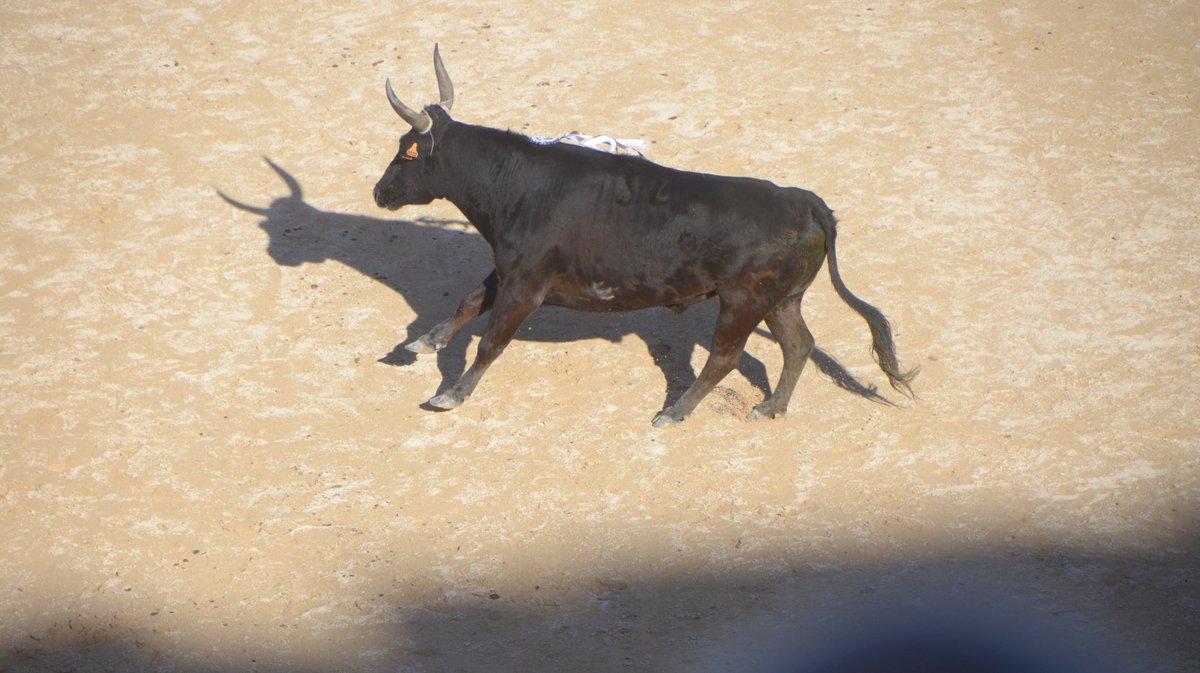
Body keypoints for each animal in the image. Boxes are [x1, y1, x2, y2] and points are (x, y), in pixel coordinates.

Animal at [369, 47, 912, 424]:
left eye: (408, 152)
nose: (379, 191)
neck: (517, 184)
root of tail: (804, 201)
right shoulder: (509, 271)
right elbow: (467, 303)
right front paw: (422, 343)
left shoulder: (525, 286)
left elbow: (490, 341)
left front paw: (451, 394)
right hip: (782, 299)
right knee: (798, 345)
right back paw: (769, 407)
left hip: (743, 300)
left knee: (726, 356)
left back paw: (675, 411)